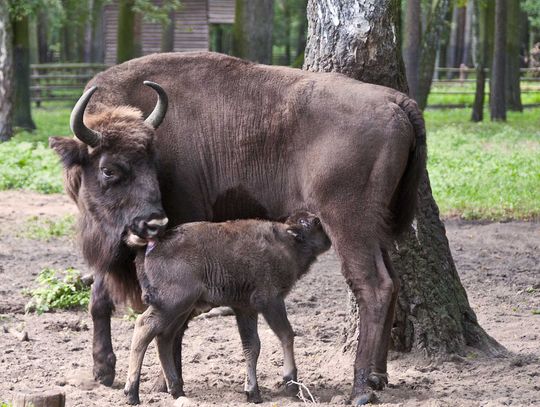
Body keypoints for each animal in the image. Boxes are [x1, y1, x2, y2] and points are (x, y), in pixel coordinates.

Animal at [124, 214, 332, 404]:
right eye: (316, 223)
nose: (329, 240)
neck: (286, 242)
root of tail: (152, 245)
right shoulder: (271, 301)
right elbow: (286, 335)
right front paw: (290, 383)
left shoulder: (245, 309)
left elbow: (252, 346)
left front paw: (252, 392)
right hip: (172, 304)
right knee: (144, 327)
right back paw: (132, 394)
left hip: (181, 310)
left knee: (164, 337)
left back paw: (176, 390)